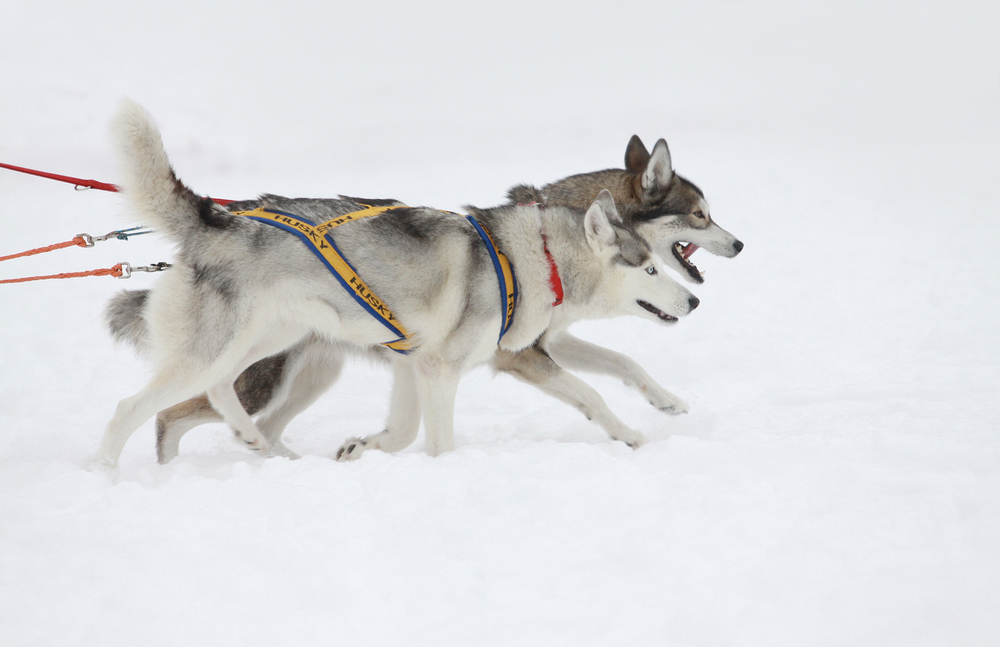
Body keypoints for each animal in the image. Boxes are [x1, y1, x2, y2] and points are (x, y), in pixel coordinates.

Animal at [97, 98, 700, 468]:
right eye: (649, 268)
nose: (694, 300)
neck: (534, 257)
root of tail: (214, 218)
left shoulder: (416, 365)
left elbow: (405, 431)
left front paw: (364, 447)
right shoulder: (449, 368)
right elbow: (448, 439)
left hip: (269, 347)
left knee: (221, 398)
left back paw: (260, 445)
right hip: (228, 351)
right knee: (136, 409)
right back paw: (110, 473)